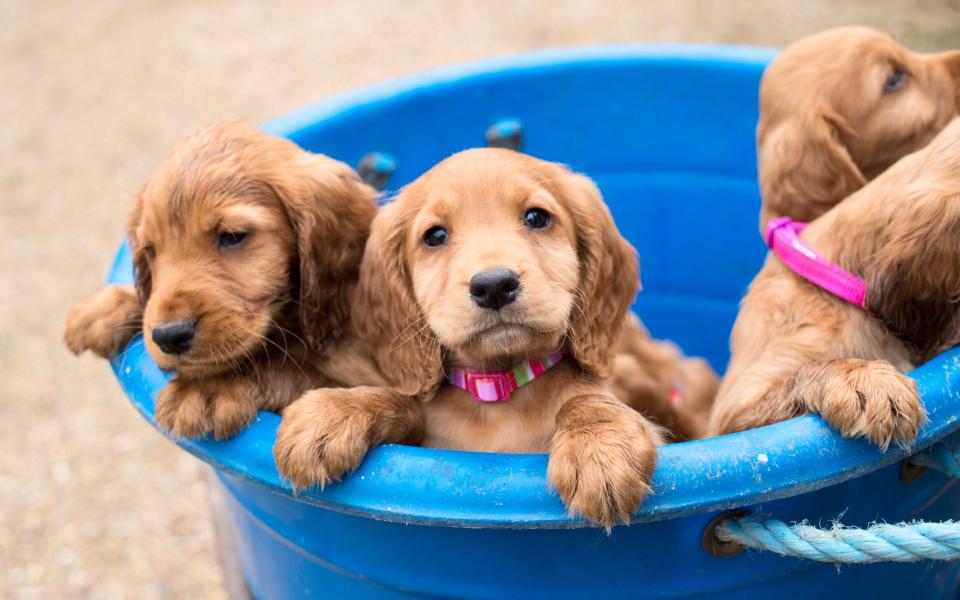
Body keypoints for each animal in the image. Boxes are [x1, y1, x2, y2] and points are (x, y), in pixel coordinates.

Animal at [62, 123, 386, 440]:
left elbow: (289, 367)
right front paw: (106, 307)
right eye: (150, 251)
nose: (168, 336)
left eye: (232, 236)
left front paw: (210, 387)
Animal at [274, 150, 664, 528]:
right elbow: (402, 403)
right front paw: (334, 412)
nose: (494, 286)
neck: (499, 389)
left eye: (537, 218)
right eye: (435, 236)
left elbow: (585, 399)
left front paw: (599, 447)